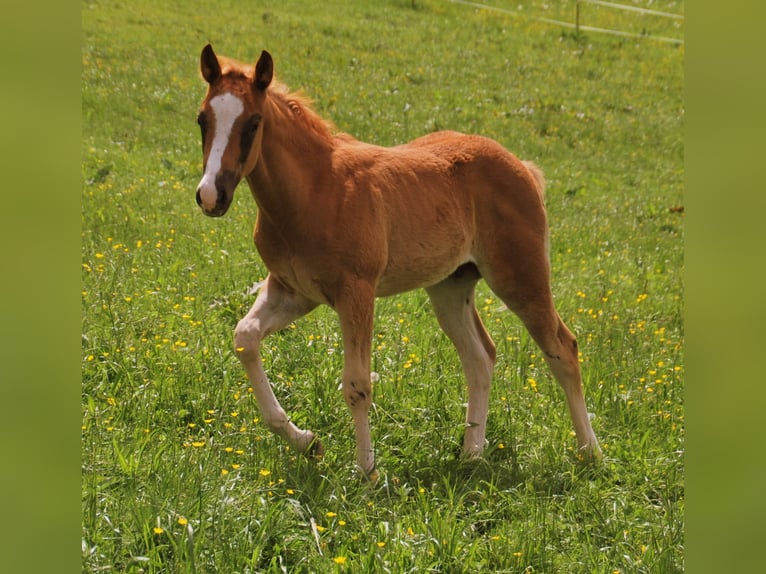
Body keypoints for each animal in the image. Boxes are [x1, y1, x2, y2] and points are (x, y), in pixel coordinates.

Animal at [195, 42, 604, 480]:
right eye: (202, 120)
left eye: (253, 123)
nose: (211, 195)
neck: (314, 191)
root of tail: (522, 167)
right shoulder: (293, 290)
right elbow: (245, 338)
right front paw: (307, 442)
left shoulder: (356, 292)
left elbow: (357, 384)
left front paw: (367, 473)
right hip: (451, 285)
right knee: (480, 357)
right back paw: (472, 455)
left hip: (521, 277)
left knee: (562, 347)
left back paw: (590, 453)